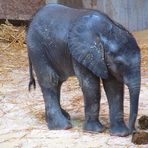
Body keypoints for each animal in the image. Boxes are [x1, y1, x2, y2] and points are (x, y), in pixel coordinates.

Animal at [26, 3, 141, 136]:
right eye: (119, 63)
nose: (133, 130)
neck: (106, 31)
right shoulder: (81, 53)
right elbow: (90, 85)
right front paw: (95, 131)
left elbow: (114, 86)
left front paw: (120, 134)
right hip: (37, 49)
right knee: (50, 80)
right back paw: (62, 126)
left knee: (58, 82)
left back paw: (63, 117)